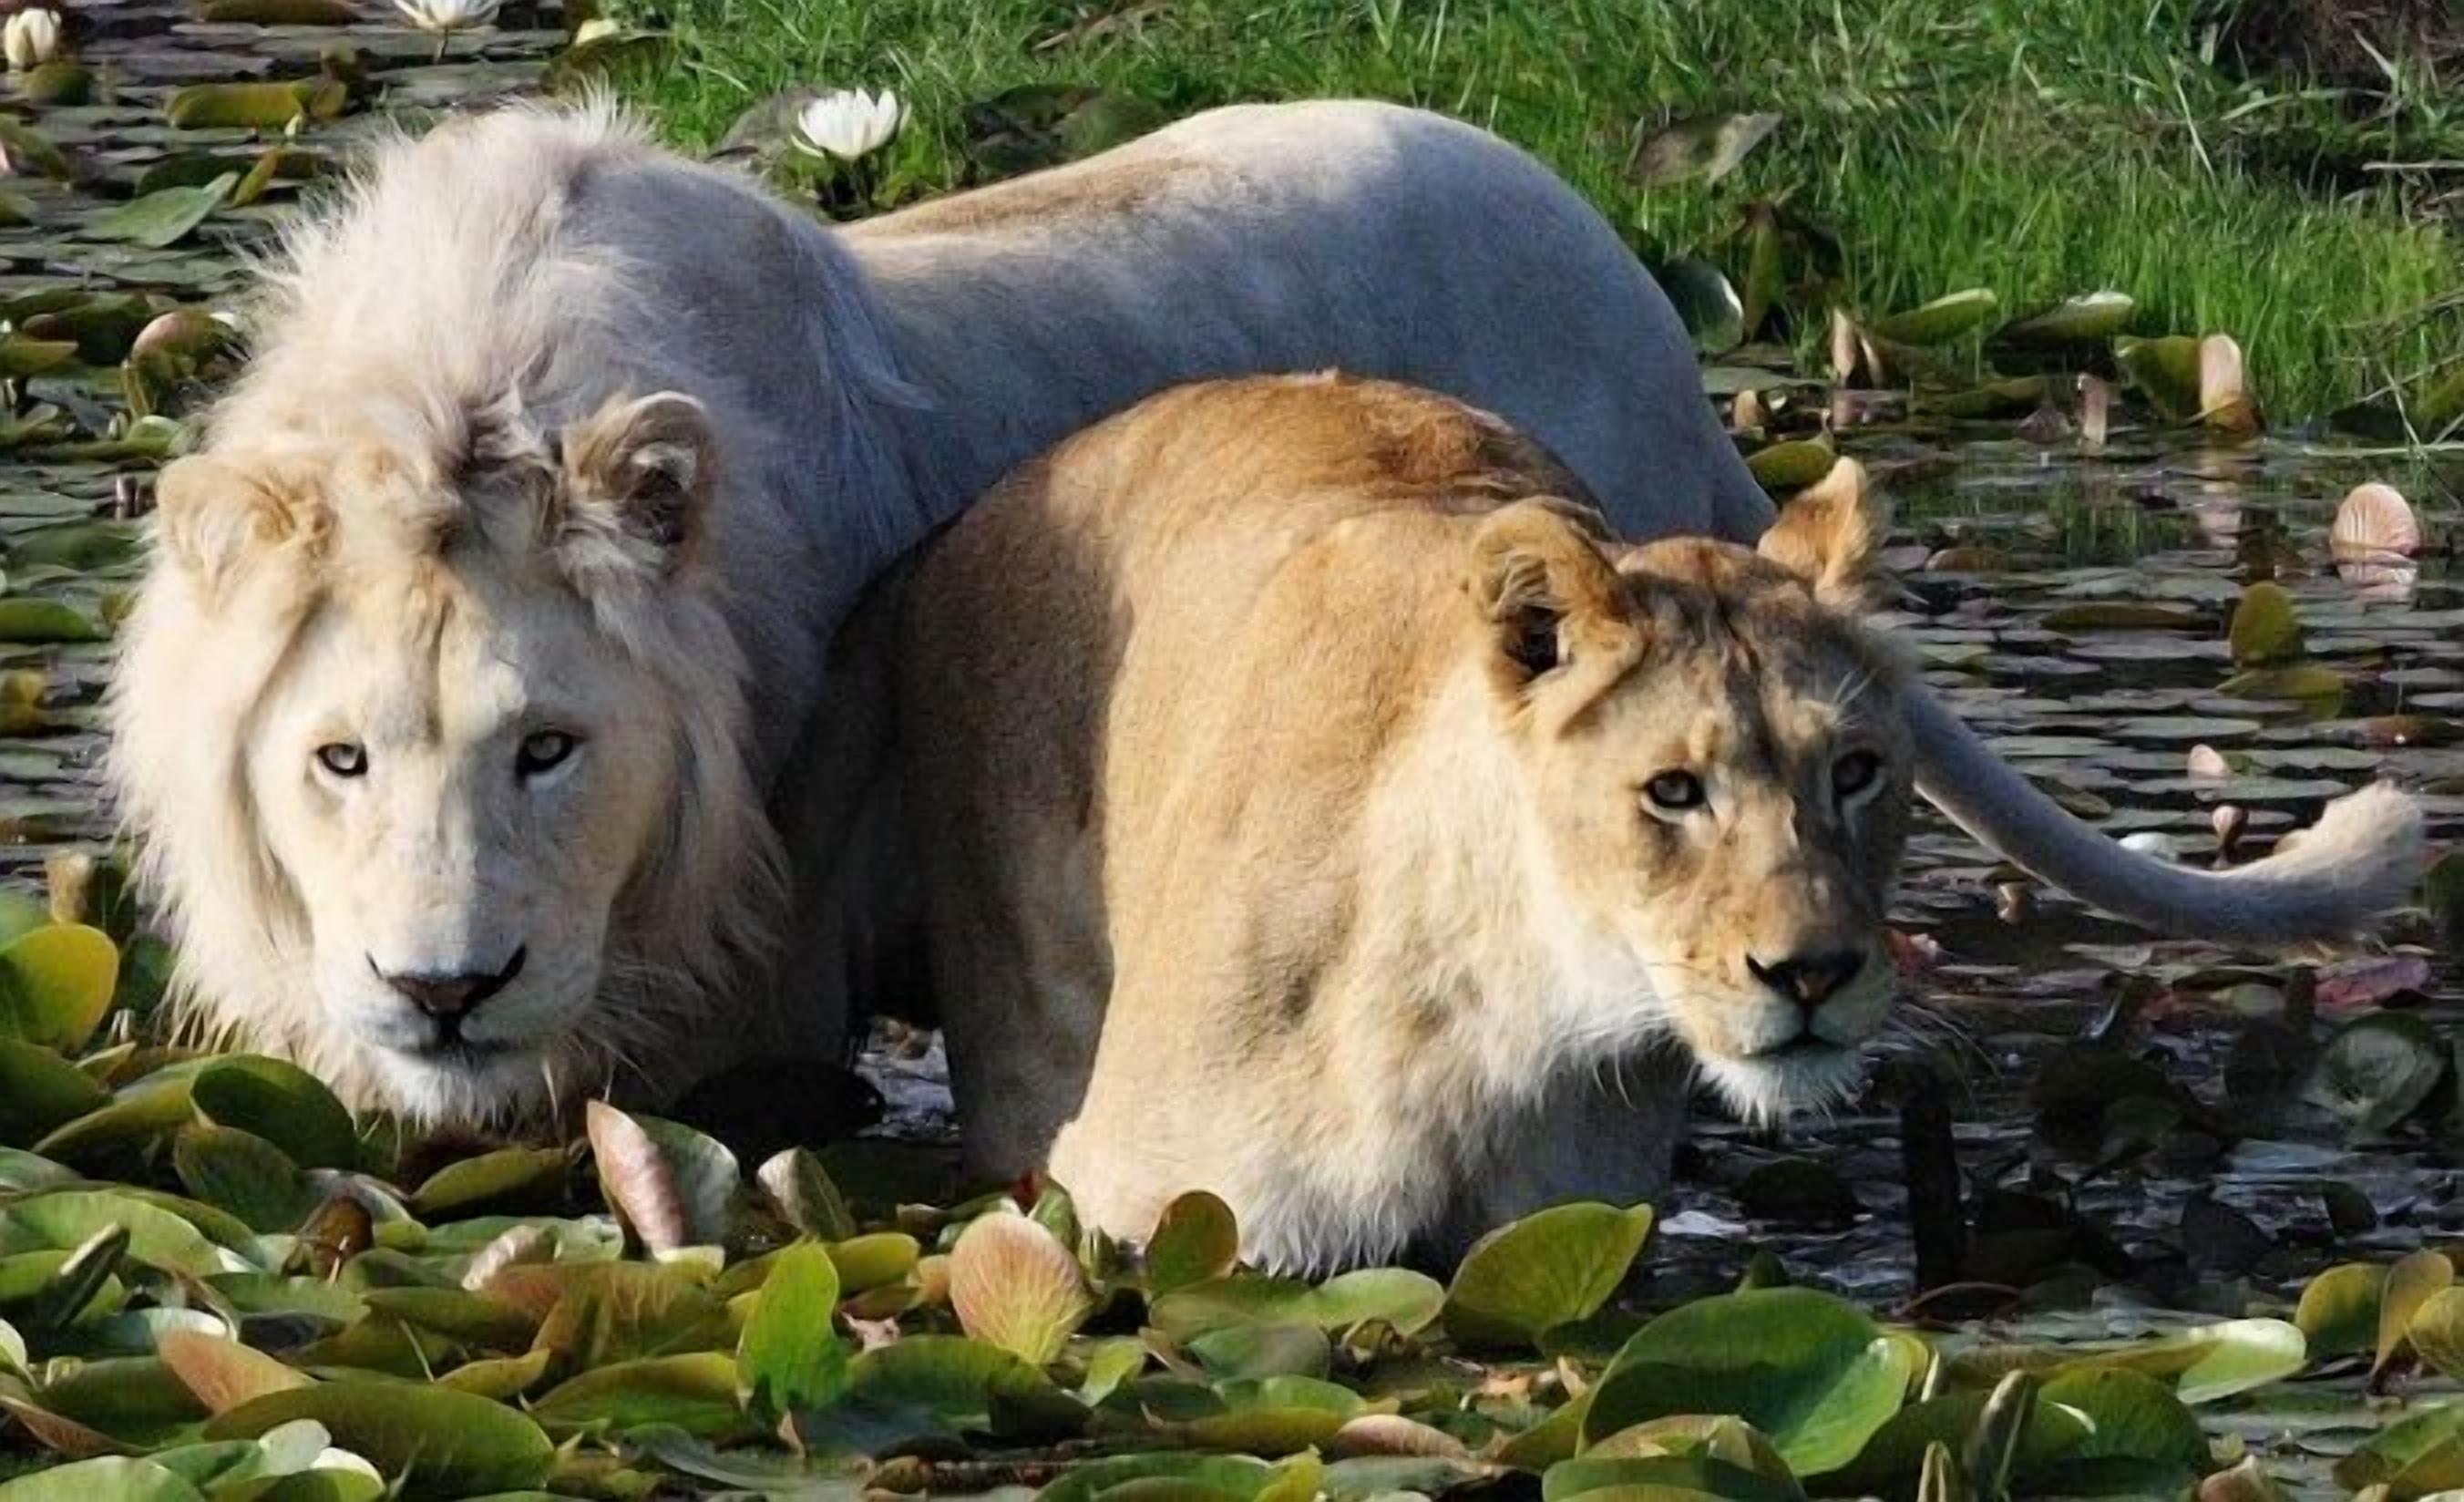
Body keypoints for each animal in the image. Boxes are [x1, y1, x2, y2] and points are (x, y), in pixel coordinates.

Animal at [888, 374, 2423, 1270]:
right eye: (1673, 791)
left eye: (1855, 772)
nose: (1812, 976)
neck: (1483, 1014)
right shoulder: (1158, 1228)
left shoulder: (1563, 1251)